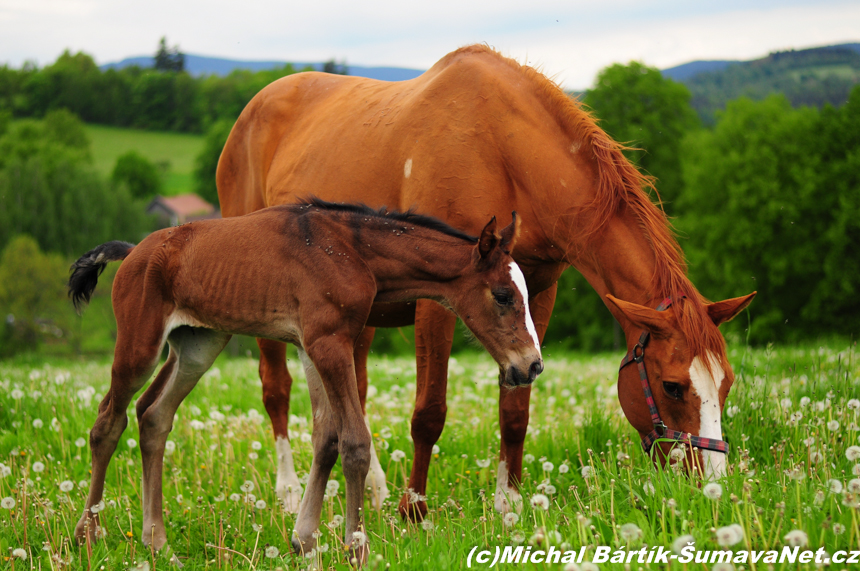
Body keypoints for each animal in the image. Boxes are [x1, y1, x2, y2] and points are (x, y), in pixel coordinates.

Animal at [69, 200, 536, 564]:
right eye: (503, 295)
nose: (531, 366)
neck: (351, 250)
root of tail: (135, 251)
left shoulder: (312, 348)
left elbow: (325, 438)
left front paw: (305, 541)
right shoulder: (329, 343)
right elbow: (354, 443)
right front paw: (356, 548)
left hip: (199, 344)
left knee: (154, 416)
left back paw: (158, 543)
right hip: (139, 345)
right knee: (107, 422)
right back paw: (88, 535)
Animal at [218, 44, 756, 520]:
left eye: (726, 383)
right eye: (672, 387)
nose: (711, 485)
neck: (503, 149)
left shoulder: (535, 294)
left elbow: (515, 410)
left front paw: (509, 506)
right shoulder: (438, 302)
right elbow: (429, 411)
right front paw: (415, 511)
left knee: (354, 389)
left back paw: (370, 490)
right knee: (276, 389)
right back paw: (291, 493)